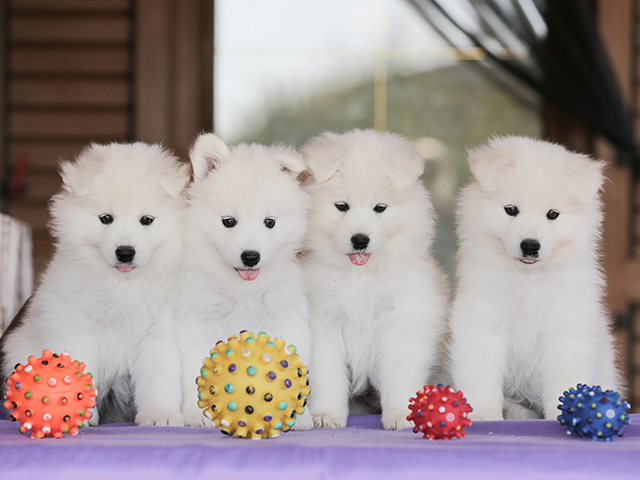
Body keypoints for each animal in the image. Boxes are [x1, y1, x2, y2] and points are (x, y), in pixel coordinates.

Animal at [0, 142, 190, 426]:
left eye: (146, 219)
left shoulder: (157, 334)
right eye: (105, 218)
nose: (125, 252)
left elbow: (159, 379)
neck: (122, 284)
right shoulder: (75, 328)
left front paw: (160, 415)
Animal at [174, 133, 313, 429]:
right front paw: (199, 414)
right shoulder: (200, 320)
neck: (244, 289)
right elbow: (196, 368)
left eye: (270, 222)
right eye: (229, 221)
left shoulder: (284, 316)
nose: (250, 257)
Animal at [301, 129, 449, 430]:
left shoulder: (401, 322)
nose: (360, 240)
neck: (360, 276)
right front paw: (326, 415)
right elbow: (328, 374)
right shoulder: (323, 323)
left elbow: (400, 373)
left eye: (380, 207)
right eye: (341, 206)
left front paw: (401, 416)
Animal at [448, 136, 621, 420]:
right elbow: (480, 374)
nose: (530, 246)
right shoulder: (483, 319)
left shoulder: (566, 326)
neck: (527, 279)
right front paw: (484, 414)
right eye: (511, 209)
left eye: (553, 214)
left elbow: (565, 377)